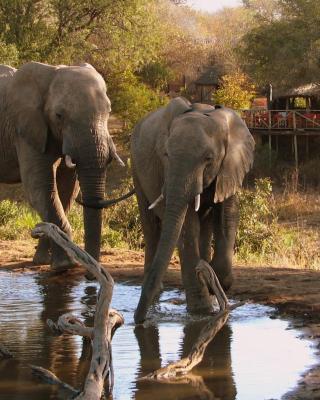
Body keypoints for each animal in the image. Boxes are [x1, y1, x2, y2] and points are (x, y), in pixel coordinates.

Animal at [0, 61, 130, 268]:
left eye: (109, 112)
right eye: (59, 115)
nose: (89, 273)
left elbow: (67, 189)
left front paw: (43, 261)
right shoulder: (26, 130)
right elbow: (41, 189)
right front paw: (65, 265)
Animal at [84, 97, 255, 324]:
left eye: (209, 158)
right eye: (165, 155)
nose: (136, 320)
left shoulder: (230, 167)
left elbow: (228, 216)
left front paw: (214, 281)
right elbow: (187, 226)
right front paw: (201, 310)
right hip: (137, 170)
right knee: (151, 227)